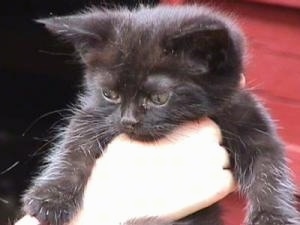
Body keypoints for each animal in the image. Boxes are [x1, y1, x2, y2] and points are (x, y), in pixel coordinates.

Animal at [22, 4, 298, 225]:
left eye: (159, 98)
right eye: (110, 94)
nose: (128, 120)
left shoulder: (247, 118)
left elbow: (268, 167)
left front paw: (274, 216)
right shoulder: (94, 115)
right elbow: (74, 146)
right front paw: (51, 196)